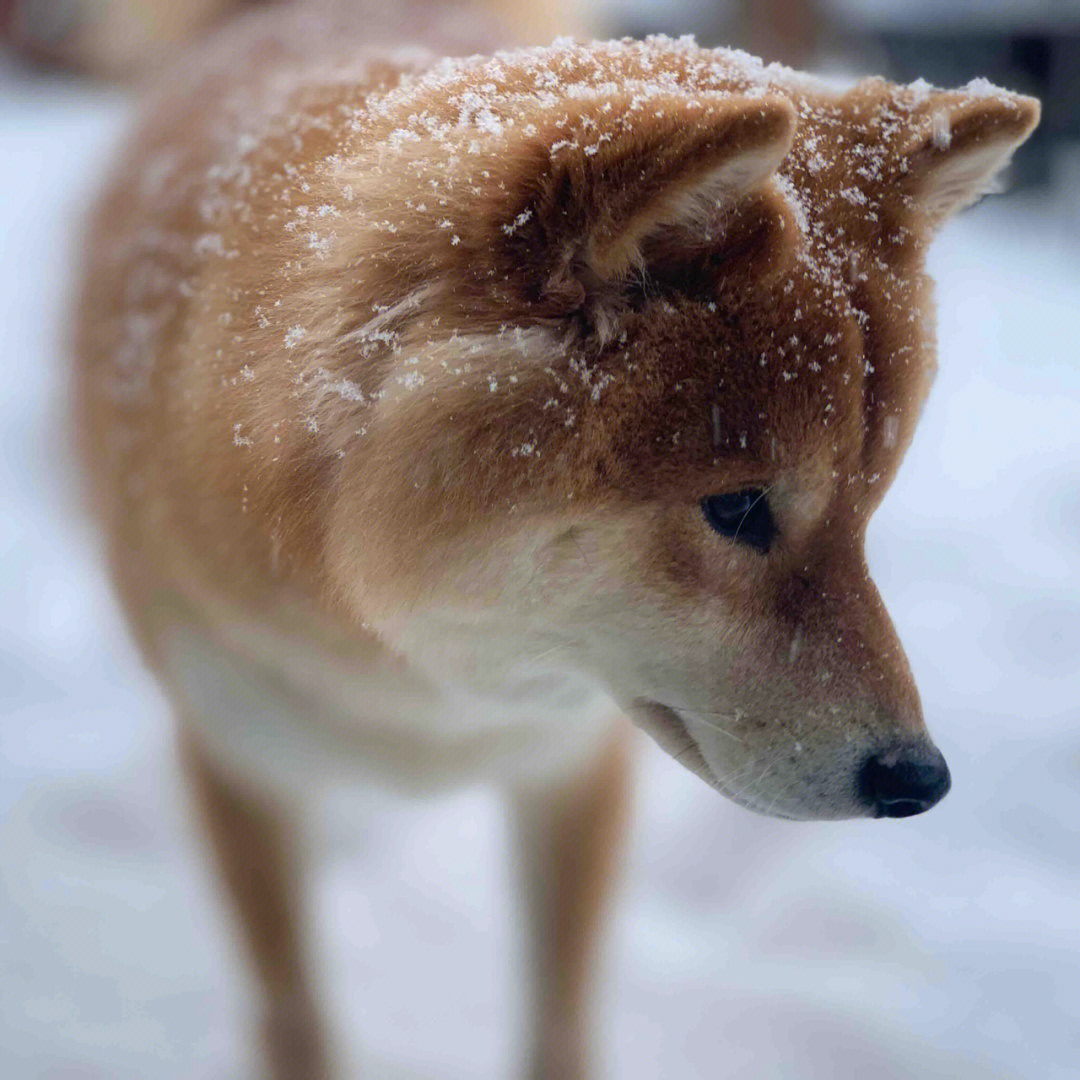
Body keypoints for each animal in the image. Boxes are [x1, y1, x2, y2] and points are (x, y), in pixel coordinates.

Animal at [73, 4, 1036, 1075]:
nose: (920, 781)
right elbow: (295, 1015)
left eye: (868, 507)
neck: (424, 672)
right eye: (740, 508)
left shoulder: (572, 766)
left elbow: (560, 1012)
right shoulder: (241, 764)